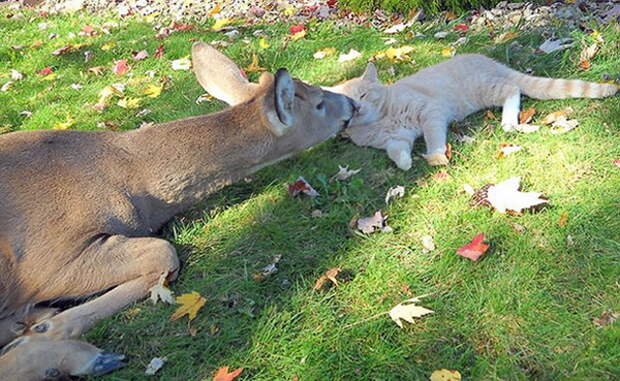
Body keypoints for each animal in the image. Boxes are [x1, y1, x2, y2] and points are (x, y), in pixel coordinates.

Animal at [0, 40, 358, 378]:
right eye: (318, 103)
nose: (352, 104)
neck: (136, 184)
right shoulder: (47, 261)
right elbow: (164, 252)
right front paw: (49, 328)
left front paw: (40, 324)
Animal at [326, 55, 616, 169]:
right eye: (348, 102)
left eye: (363, 95)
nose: (357, 107)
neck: (382, 119)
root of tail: (488, 60)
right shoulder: (396, 139)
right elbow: (396, 152)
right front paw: (405, 163)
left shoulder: (430, 112)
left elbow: (433, 136)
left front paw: (436, 156)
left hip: (485, 89)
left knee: (513, 89)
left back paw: (508, 122)